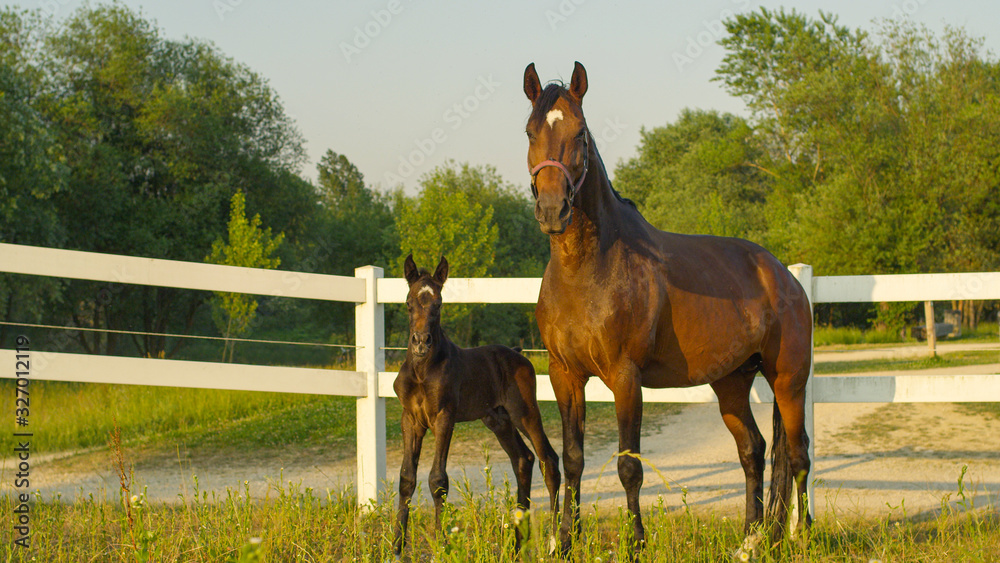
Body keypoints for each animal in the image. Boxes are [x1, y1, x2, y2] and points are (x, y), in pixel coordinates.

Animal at [392, 256, 564, 560]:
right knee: (523, 460)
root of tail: (519, 356)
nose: (421, 342)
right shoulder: (410, 419)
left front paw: (441, 549)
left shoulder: (444, 417)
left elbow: (437, 479)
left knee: (549, 461)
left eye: (438, 303)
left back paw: (554, 545)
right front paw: (396, 551)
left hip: (524, 413)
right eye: (408, 302)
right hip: (497, 420)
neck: (423, 370)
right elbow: (406, 478)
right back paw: (516, 547)